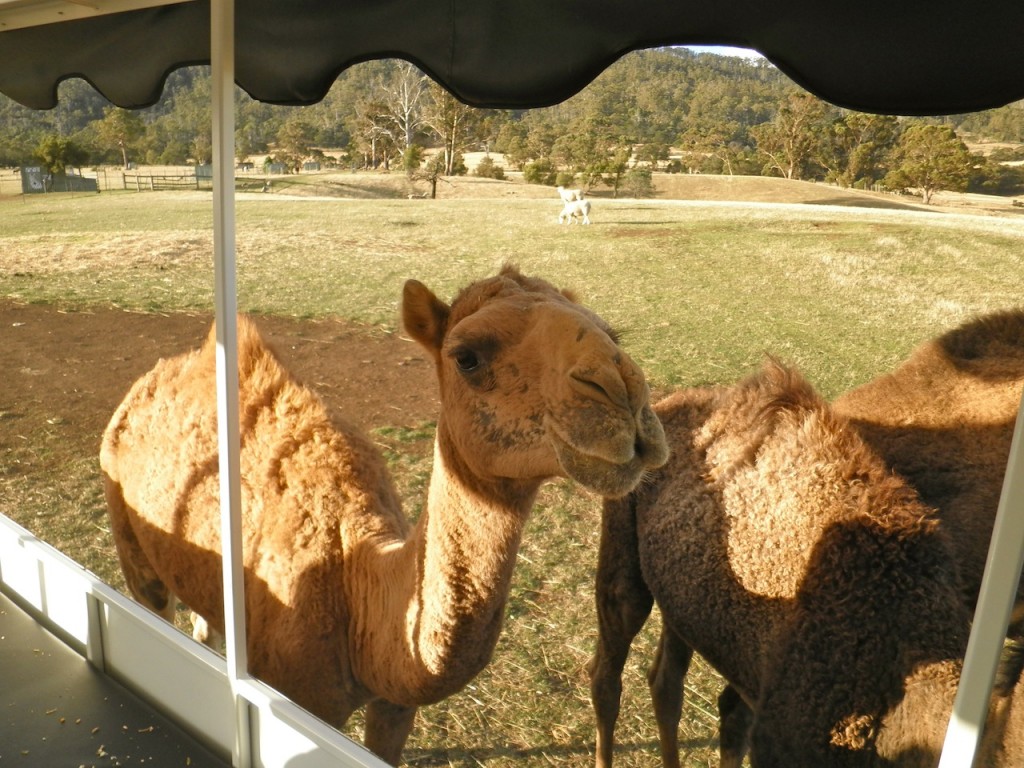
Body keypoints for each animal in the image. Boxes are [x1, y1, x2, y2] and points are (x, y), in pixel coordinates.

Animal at [99, 264, 667, 765]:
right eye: (467, 357)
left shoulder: (396, 705)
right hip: (129, 536)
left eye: (613, 333)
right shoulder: (300, 700)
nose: (622, 393)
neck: (358, 590)